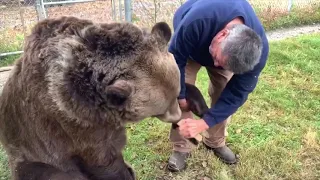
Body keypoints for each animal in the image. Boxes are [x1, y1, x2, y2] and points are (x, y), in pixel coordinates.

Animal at [0, 16, 182, 179]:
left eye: (176, 94)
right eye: (163, 108)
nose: (178, 117)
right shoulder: (73, 122)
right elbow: (101, 159)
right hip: (32, 154)